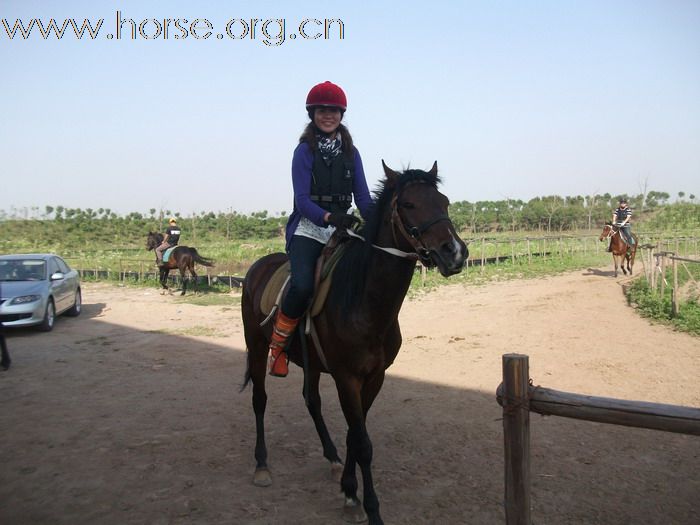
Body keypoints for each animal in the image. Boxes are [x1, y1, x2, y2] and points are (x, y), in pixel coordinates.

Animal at [239, 162, 464, 520]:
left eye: (444, 201)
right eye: (408, 204)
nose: (454, 252)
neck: (364, 302)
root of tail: (256, 267)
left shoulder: (374, 377)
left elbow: (353, 437)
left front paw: (348, 489)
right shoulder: (347, 378)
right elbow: (363, 443)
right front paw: (370, 507)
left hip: (311, 362)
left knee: (311, 400)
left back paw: (331, 457)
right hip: (257, 347)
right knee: (259, 399)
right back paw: (262, 465)